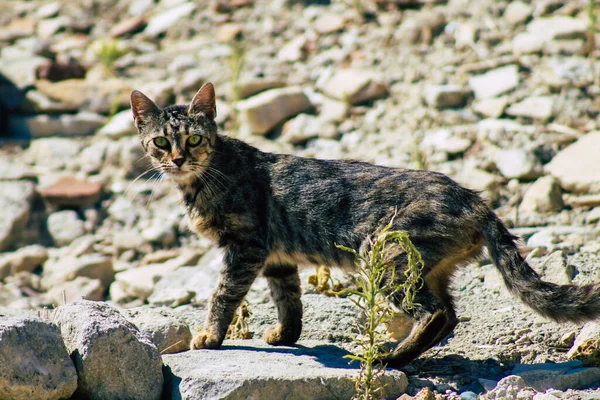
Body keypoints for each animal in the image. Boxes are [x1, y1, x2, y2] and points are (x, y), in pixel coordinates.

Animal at [131, 83, 600, 368]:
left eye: (194, 139)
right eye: (160, 142)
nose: (177, 159)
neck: (201, 179)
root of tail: (475, 198)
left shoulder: (245, 247)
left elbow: (222, 296)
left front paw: (210, 336)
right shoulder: (277, 258)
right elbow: (289, 299)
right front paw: (286, 334)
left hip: (386, 255)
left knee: (434, 314)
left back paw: (390, 358)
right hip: (427, 267)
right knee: (449, 314)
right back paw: (404, 355)